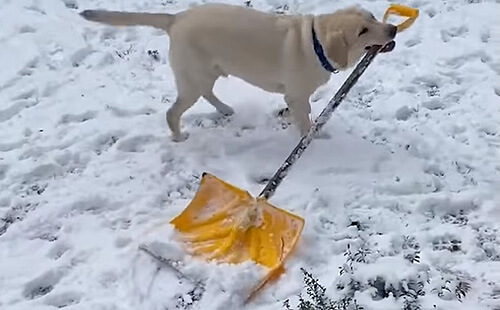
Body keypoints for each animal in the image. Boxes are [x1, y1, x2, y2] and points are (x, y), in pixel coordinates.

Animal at [80, 2, 396, 142]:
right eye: (362, 31)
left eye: (372, 16)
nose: (393, 29)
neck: (315, 41)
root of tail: (175, 18)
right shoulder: (297, 95)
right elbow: (306, 119)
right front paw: (311, 136)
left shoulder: (295, 96)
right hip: (193, 78)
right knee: (173, 112)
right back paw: (179, 136)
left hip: (206, 73)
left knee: (208, 93)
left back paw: (225, 109)